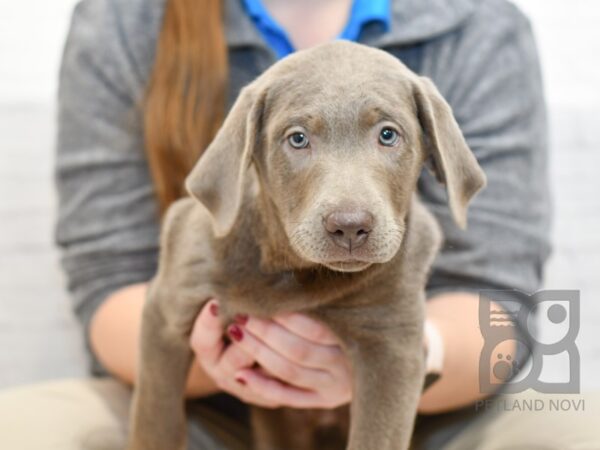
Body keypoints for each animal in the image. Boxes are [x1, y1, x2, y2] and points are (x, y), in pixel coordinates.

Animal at [127, 41, 488, 450]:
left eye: (388, 135)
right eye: (297, 138)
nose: (350, 226)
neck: (293, 272)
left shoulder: (392, 347)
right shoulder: (166, 312)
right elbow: (155, 423)